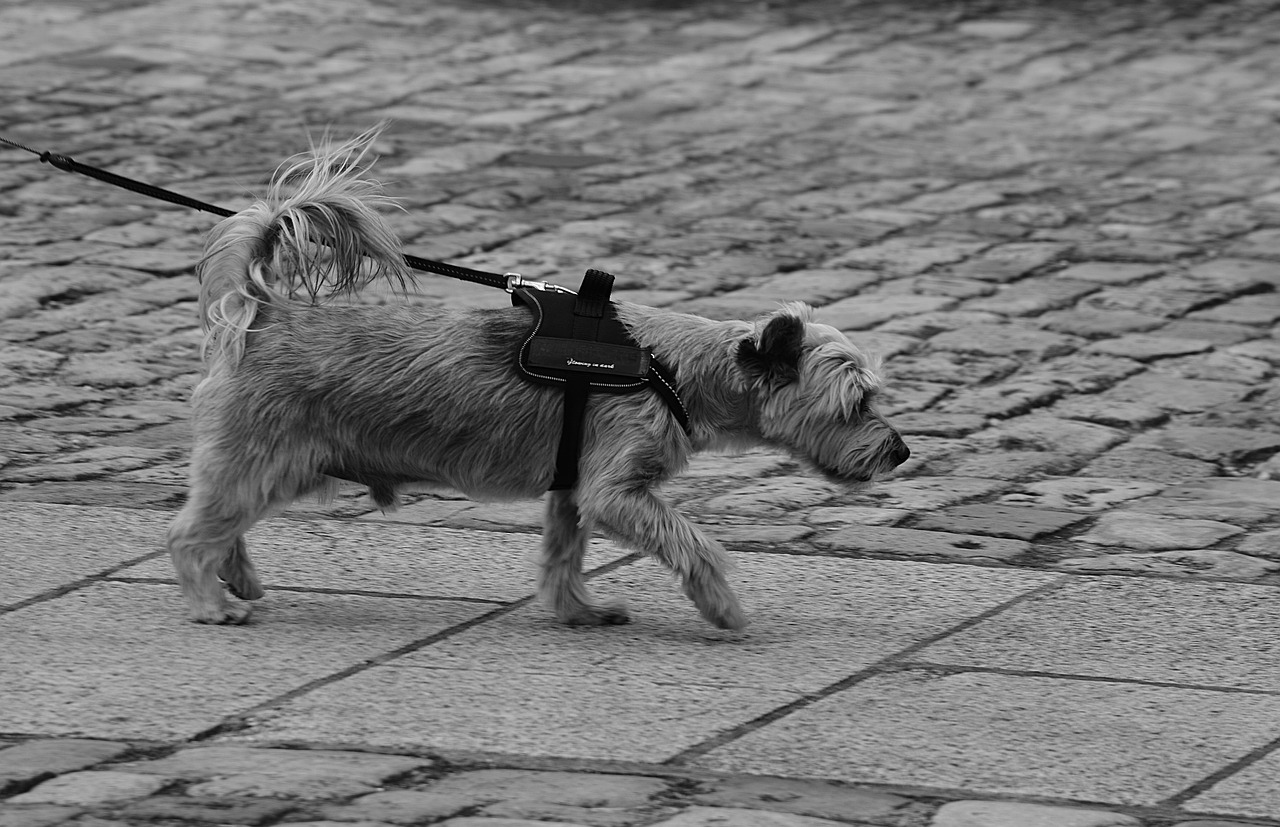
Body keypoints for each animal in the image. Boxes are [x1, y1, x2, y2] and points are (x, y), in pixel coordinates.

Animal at [167, 133, 911, 632]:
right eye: (857, 403)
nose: (901, 451)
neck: (671, 368)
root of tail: (259, 315)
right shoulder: (618, 490)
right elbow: (692, 540)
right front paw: (722, 604)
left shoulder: (573, 489)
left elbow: (562, 555)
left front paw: (576, 609)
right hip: (267, 457)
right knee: (189, 534)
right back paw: (208, 601)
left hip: (270, 464)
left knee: (221, 524)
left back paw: (238, 579)